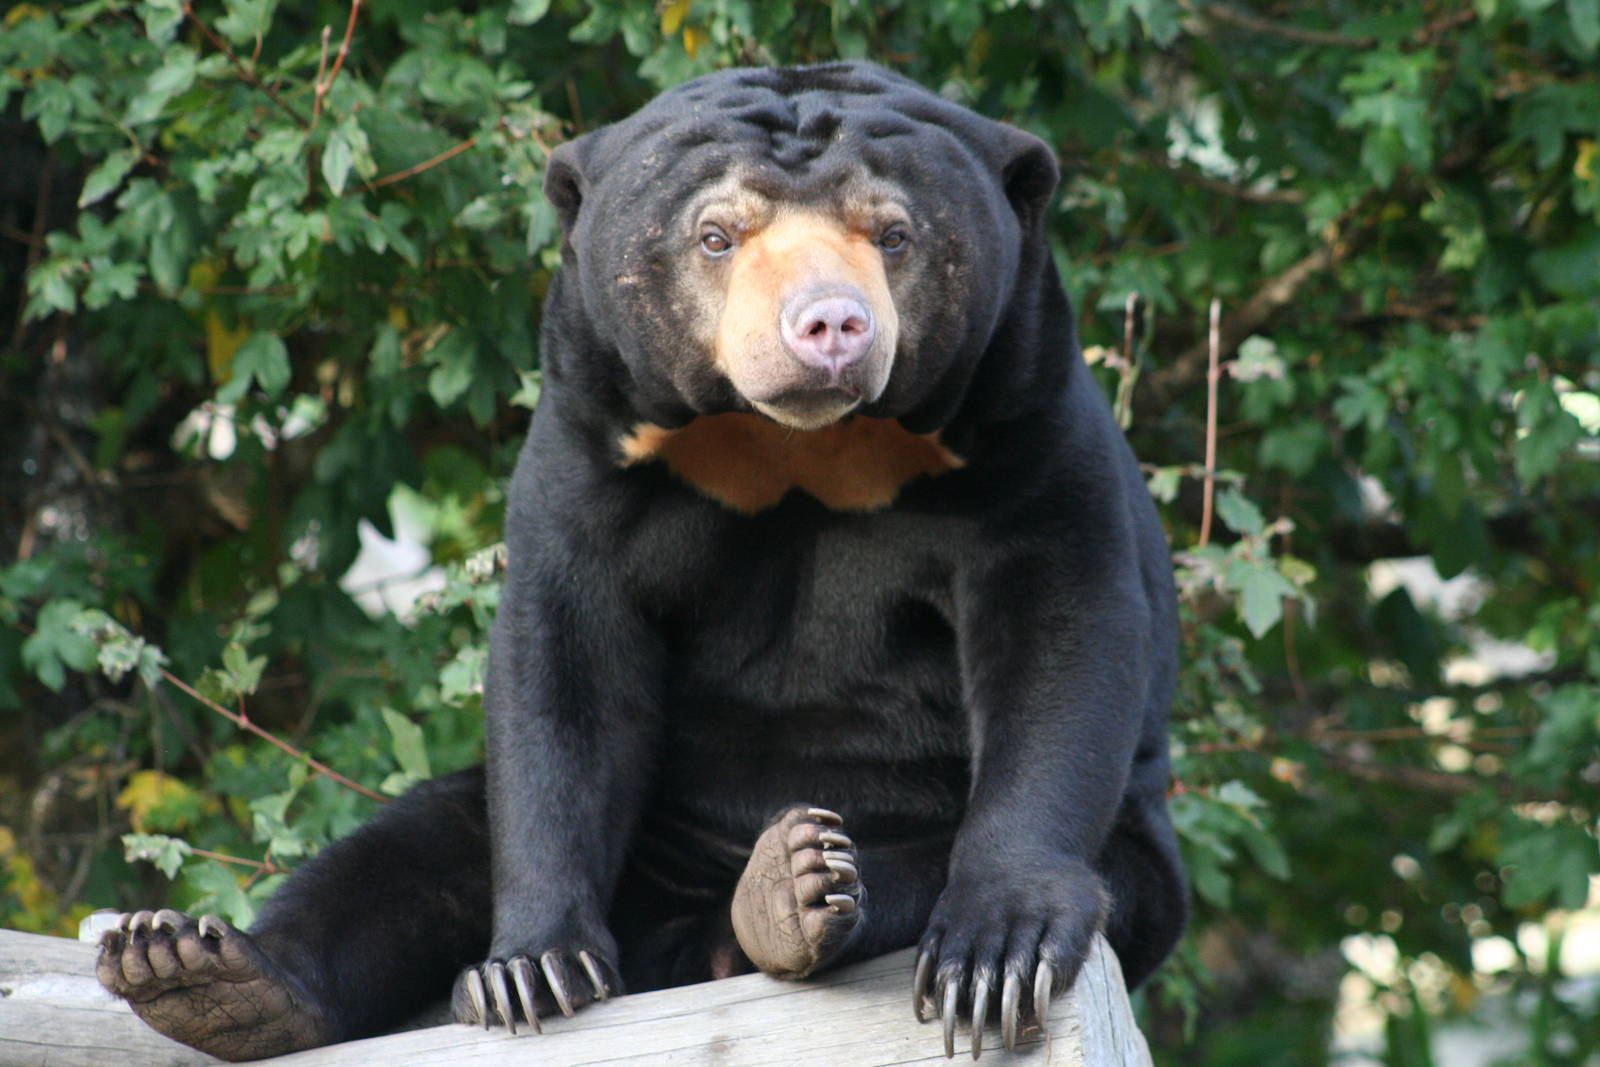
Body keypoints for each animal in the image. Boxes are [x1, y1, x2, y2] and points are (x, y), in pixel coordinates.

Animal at [96, 61, 1187, 1062]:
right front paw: (530, 971)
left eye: (893, 234)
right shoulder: (591, 428)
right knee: (413, 850)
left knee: (920, 866)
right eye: (716, 235)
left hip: (1123, 868)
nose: (830, 326)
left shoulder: (1020, 415)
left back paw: (787, 891)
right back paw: (200, 971)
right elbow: (565, 658)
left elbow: (1058, 633)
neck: (801, 445)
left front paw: (994, 953)